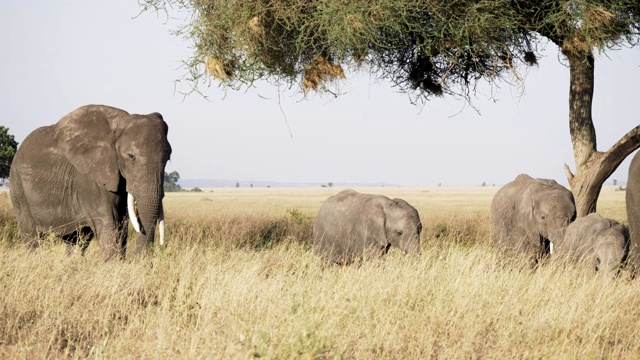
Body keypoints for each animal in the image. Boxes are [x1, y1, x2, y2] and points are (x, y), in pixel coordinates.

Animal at [9, 104, 172, 258]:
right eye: (131, 156)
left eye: (168, 158)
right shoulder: (88, 177)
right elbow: (108, 223)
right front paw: (114, 264)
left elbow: (122, 223)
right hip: (18, 187)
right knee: (32, 236)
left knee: (76, 239)